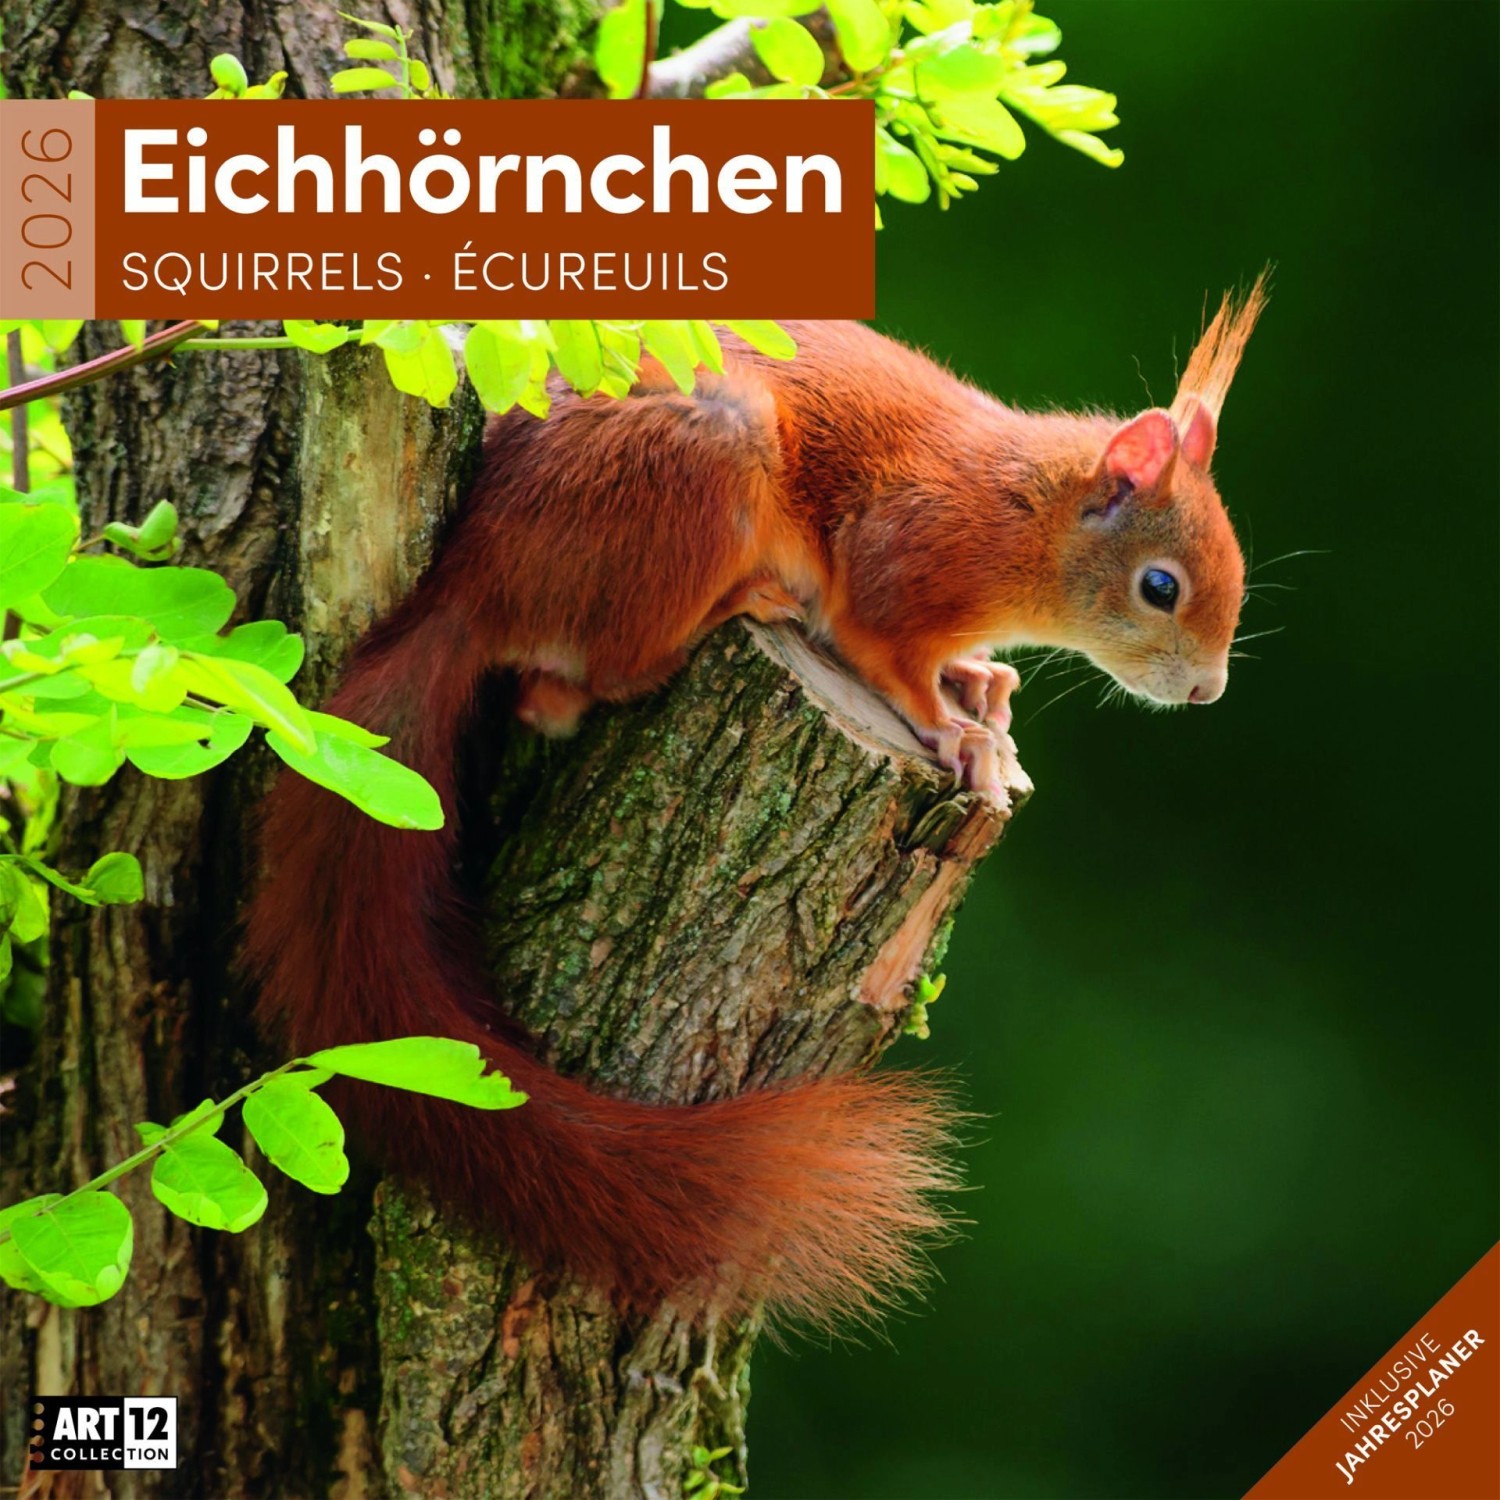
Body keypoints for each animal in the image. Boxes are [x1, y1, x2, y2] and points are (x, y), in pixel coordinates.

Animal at [246, 280, 1265, 1326]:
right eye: (1160, 586)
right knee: (593, 679)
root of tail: (469, 583)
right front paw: (961, 735)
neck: (1029, 513)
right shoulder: (905, 557)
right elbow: (885, 652)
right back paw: (743, 604)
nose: (1207, 692)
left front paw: (984, 684)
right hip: (703, 461)